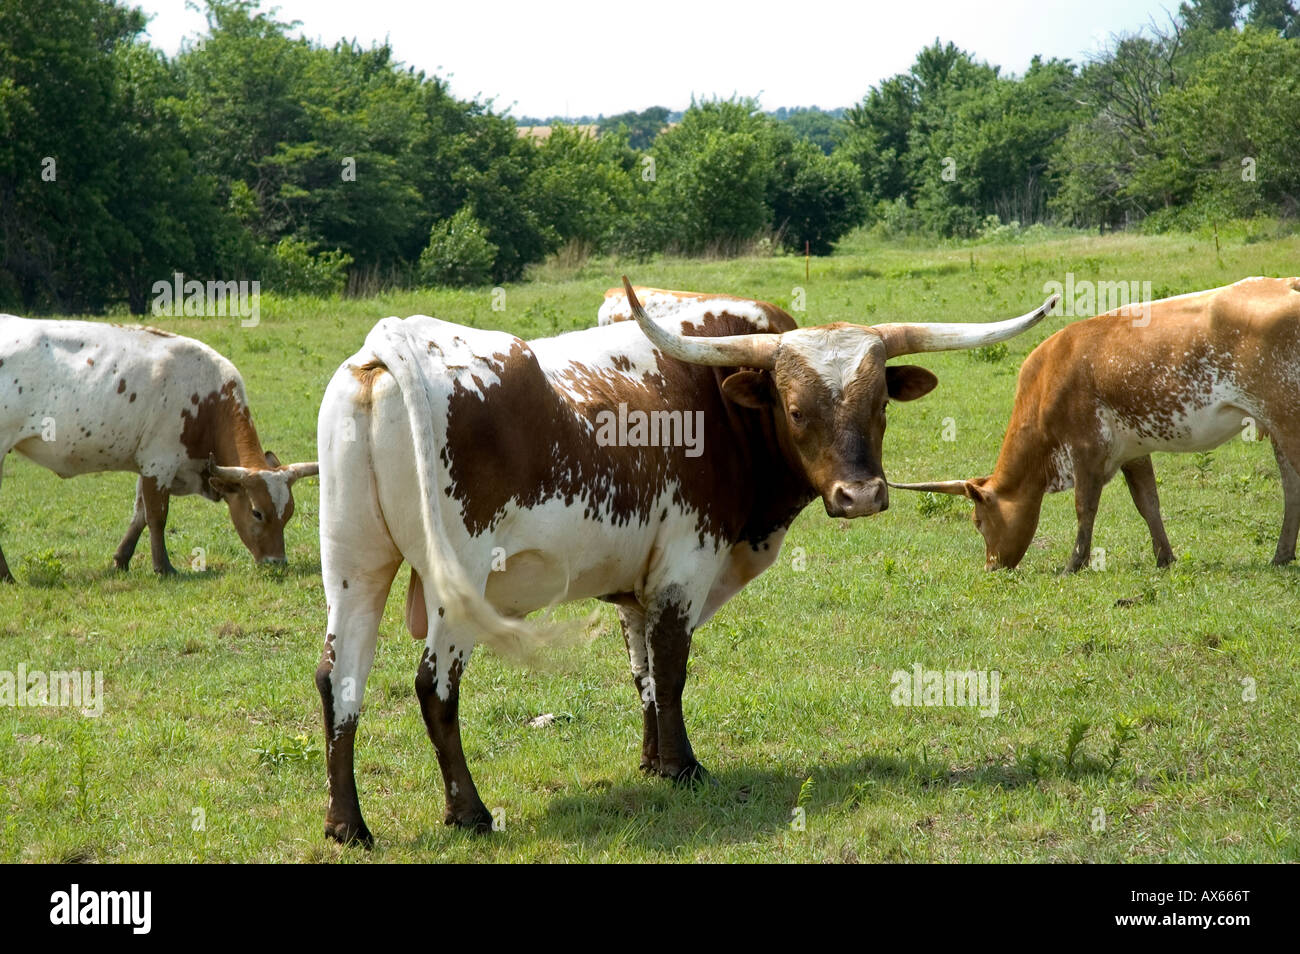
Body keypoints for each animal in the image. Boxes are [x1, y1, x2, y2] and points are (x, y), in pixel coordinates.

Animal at [0, 315, 318, 580]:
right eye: (257, 513)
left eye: (288, 513)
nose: (277, 562)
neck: (208, 402)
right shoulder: (159, 462)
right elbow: (156, 516)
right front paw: (163, 567)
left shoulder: (148, 465)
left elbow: (139, 514)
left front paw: (121, 560)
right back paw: (7, 576)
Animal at [313, 277, 1057, 846]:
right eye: (796, 409)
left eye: (878, 406)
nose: (862, 495)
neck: (717, 403)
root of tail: (388, 349)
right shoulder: (683, 565)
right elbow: (671, 670)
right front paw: (682, 769)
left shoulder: (636, 584)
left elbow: (641, 670)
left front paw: (650, 762)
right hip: (457, 580)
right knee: (434, 687)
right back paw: (468, 812)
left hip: (354, 567)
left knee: (338, 681)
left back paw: (348, 827)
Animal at [889, 277, 1300, 572]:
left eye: (978, 521)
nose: (992, 567)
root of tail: (1285, 283)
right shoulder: (1134, 451)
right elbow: (1148, 503)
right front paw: (1164, 557)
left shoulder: (1085, 448)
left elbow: (1084, 506)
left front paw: (1075, 563)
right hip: (1278, 427)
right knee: (1290, 485)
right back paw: (1281, 555)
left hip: (1287, 417)